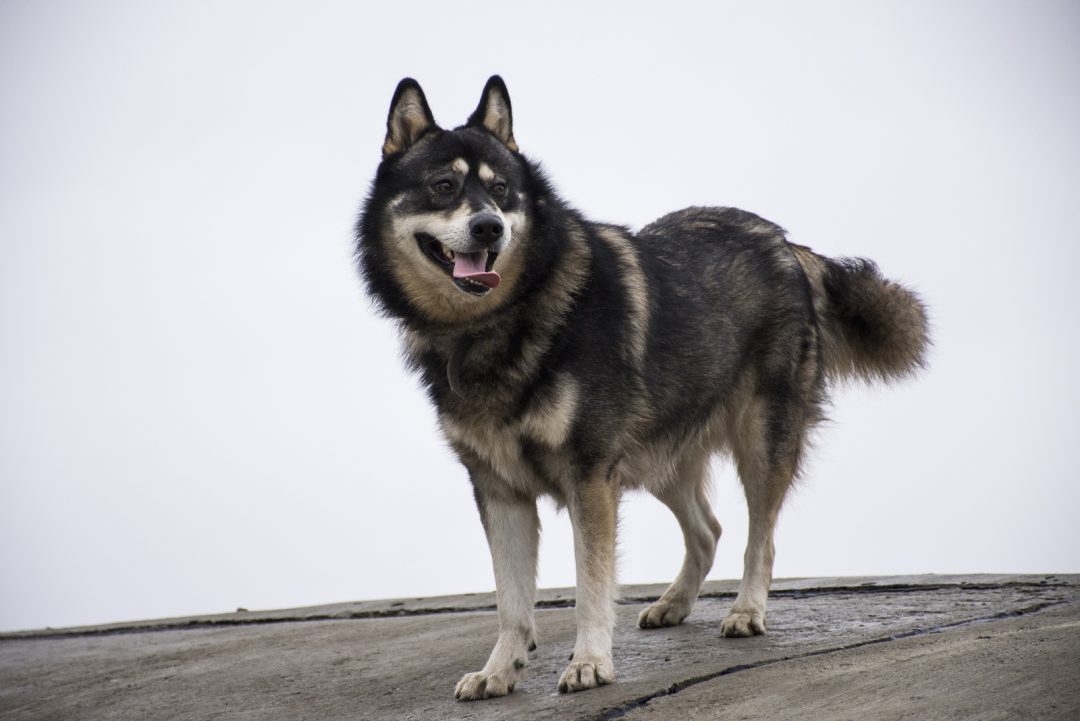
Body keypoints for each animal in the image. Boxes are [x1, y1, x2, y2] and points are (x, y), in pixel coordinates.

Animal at [354, 74, 928, 699]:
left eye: (502, 190)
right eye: (443, 186)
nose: (490, 226)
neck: (501, 322)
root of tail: (786, 243)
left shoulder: (589, 477)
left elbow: (590, 583)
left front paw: (590, 662)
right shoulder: (498, 488)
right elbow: (511, 600)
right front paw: (499, 670)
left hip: (759, 439)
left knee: (761, 534)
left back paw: (746, 611)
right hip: (659, 455)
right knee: (709, 529)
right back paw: (674, 604)